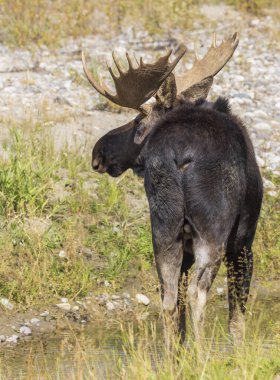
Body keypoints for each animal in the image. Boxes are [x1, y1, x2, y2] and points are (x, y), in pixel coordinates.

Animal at [81, 31, 262, 342]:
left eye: (138, 121)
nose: (98, 152)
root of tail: (179, 154)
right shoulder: (244, 241)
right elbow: (236, 319)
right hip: (212, 229)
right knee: (198, 294)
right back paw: (203, 353)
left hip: (164, 226)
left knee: (168, 299)